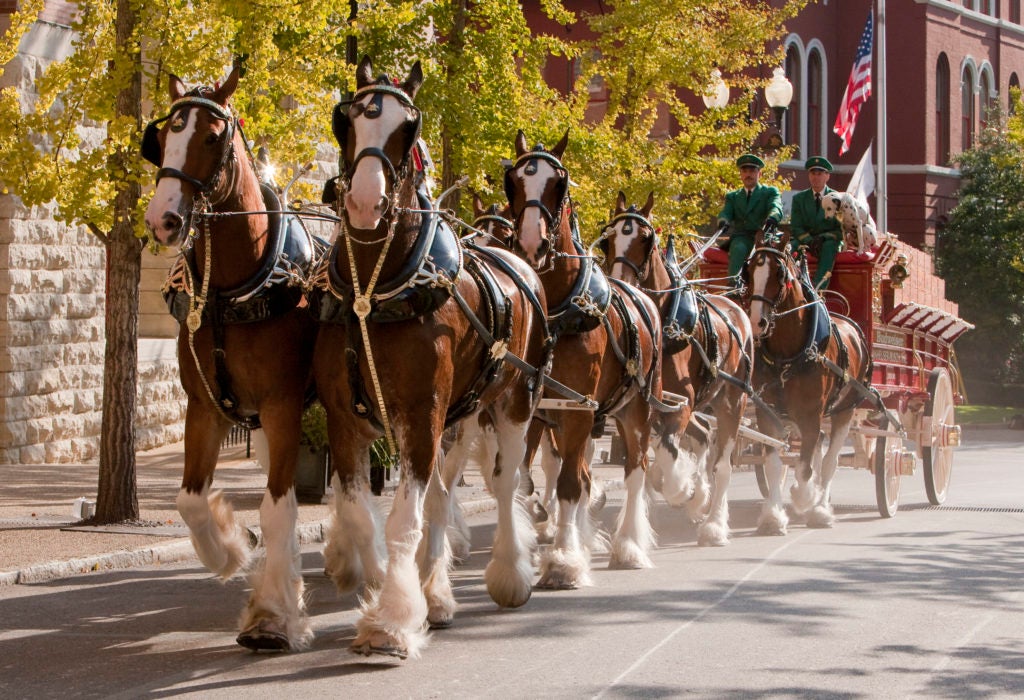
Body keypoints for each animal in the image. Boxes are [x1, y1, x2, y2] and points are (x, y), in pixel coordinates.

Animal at [140, 65, 315, 650]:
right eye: (163, 138)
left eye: (212, 137)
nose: (164, 219)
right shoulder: (206, 406)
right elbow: (190, 501)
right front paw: (233, 548)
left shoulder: (284, 406)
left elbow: (279, 506)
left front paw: (273, 616)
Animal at [311, 58, 548, 654]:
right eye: (346, 118)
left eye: (408, 124)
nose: (364, 201)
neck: (378, 291)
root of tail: (519, 261)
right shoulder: (346, 417)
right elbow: (362, 513)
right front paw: (380, 583)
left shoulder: (421, 413)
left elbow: (404, 518)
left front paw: (391, 620)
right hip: (456, 416)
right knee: (442, 493)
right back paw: (436, 594)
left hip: (513, 401)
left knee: (505, 484)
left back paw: (509, 576)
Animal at [501, 129, 663, 585]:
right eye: (513, 182)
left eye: (559, 184)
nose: (532, 243)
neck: (558, 310)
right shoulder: (534, 407)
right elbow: (526, 478)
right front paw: (544, 526)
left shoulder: (577, 410)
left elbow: (570, 484)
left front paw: (563, 561)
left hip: (637, 408)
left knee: (636, 469)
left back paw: (628, 545)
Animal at [598, 191, 757, 548]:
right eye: (607, 240)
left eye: (646, 238)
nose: (622, 285)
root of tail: (737, 308)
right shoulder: (639, 406)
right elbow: (651, 461)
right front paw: (689, 491)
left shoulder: (681, 404)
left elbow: (667, 455)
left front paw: (685, 491)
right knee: (703, 434)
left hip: (733, 401)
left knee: (723, 464)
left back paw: (713, 525)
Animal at [745, 229, 872, 532]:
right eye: (748, 270)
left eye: (779, 273)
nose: (756, 322)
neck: (787, 355)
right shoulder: (766, 413)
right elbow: (774, 464)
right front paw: (773, 517)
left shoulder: (811, 414)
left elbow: (805, 468)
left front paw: (805, 498)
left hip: (844, 411)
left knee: (829, 461)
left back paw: (820, 509)